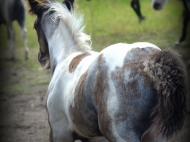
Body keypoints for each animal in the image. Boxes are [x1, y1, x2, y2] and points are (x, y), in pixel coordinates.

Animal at [28, 0, 187, 141]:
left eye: (35, 25)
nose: (41, 57)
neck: (67, 56)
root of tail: (152, 59)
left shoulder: (59, 133)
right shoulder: (93, 138)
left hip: (121, 134)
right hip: (156, 135)